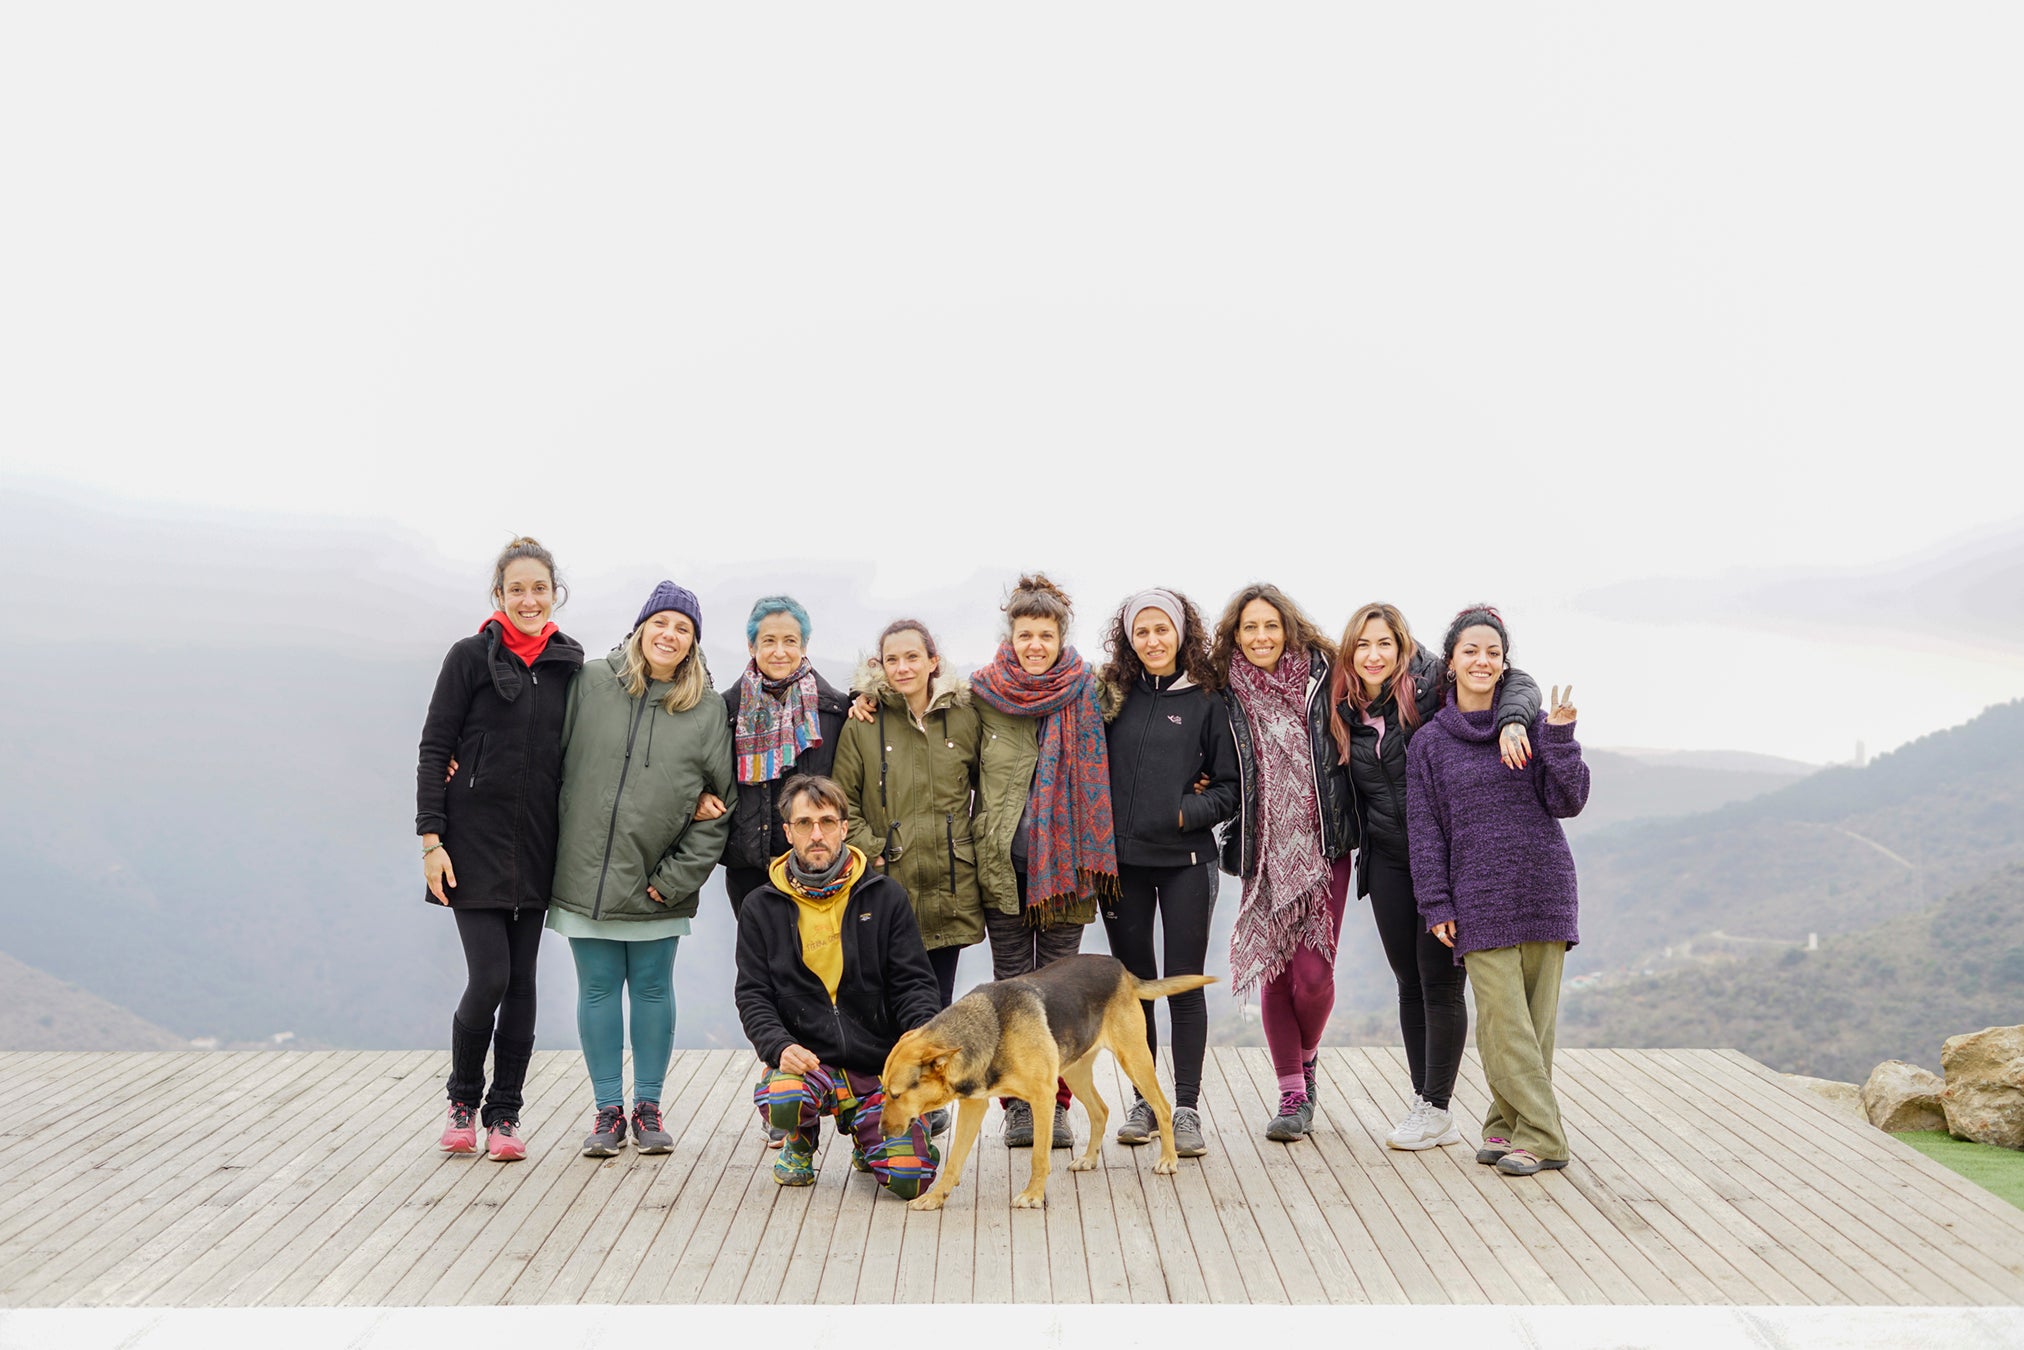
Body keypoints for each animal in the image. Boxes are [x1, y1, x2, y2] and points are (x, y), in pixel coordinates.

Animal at [879, 953, 1216, 1211]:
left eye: (895, 1095)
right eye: (883, 1091)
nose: (881, 1132)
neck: (989, 1029)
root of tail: (1119, 968)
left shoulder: (1043, 1097)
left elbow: (1039, 1156)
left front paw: (1032, 1195)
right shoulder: (974, 1106)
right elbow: (953, 1161)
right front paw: (936, 1197)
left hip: (1133, 1059)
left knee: (1161, 1105)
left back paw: (1168, 1160)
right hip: (1075, 1071)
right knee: (1101, 1111)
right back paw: (1088, 1159)